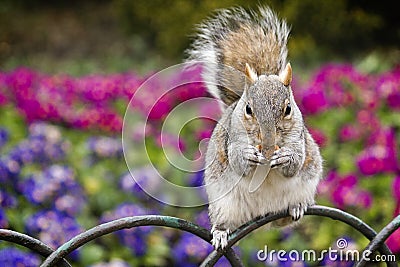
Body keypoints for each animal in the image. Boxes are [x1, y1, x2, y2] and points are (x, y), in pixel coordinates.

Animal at [186, 6, 324, 251]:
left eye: (288, 108)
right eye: (249, 109)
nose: (267, 137)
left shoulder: (299, 140)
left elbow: (295, 162)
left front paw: (285, 157)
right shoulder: (231, 141)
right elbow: (238, 162)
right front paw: (248, 156)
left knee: (285, 220)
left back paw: (297, 207)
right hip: (224, 205)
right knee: (225, 222)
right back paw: (220, 233)